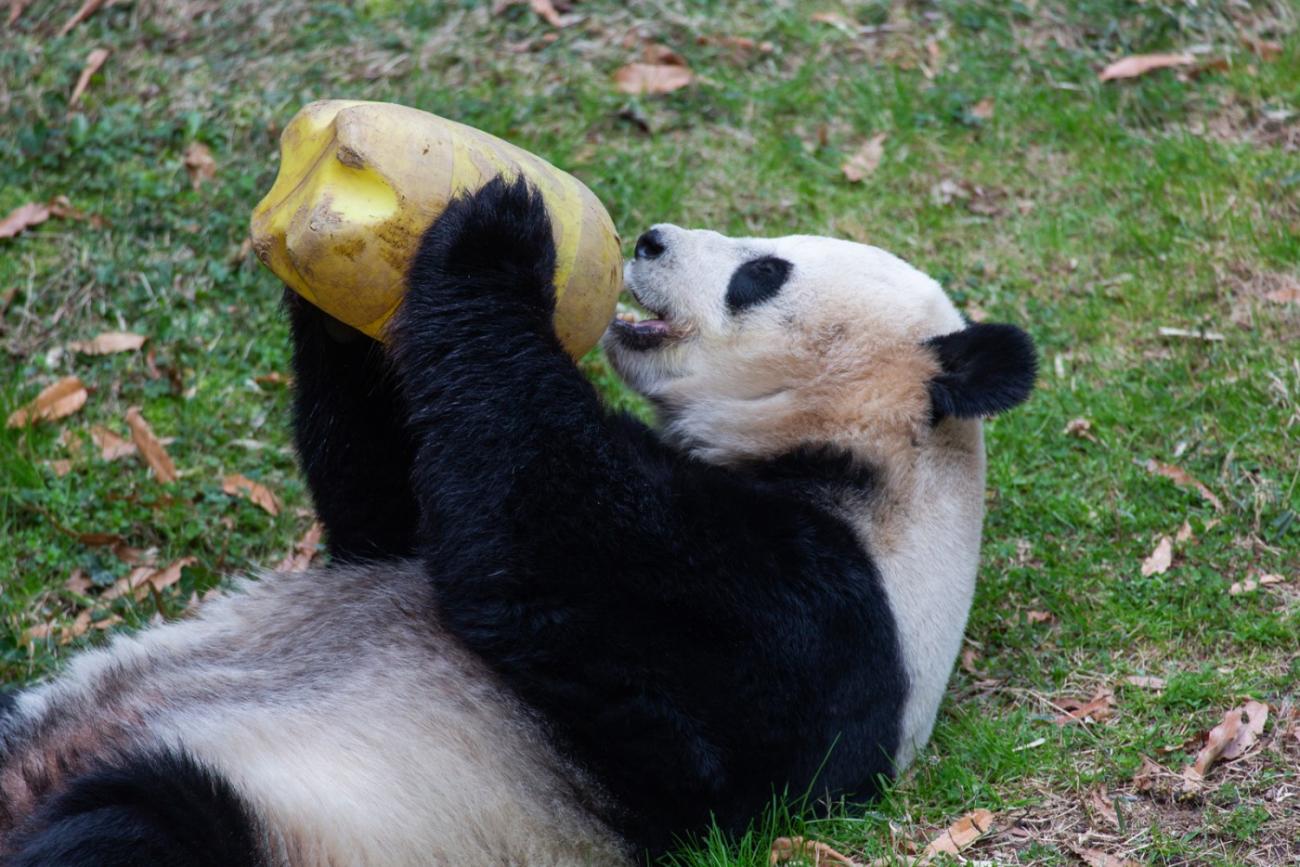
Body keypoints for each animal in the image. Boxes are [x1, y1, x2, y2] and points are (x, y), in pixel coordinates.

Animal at [0, 179, 1034, 863]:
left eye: (762, 273)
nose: (649, 239)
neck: (881, 464)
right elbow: (396, 505)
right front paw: (339, 271)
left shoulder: (818, 623)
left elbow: (543, 545)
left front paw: (495, 235)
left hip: (296, 811)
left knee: (140, 829)